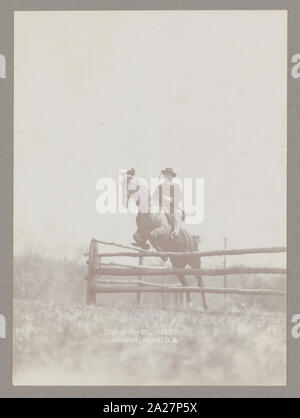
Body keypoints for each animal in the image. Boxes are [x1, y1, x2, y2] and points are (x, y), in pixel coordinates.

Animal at [125, 177, 207, 310]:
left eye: (133, 187)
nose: (126, 201)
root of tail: (193, 240)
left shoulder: (162, 229)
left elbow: (153, 235)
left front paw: (160, 252)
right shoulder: (142, 231)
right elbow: (138, 236)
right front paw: (145, 245)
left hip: (195, 263)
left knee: (200, 282)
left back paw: (205, 306)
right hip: (178, 266)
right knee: (185, 282)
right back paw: (189, 305)